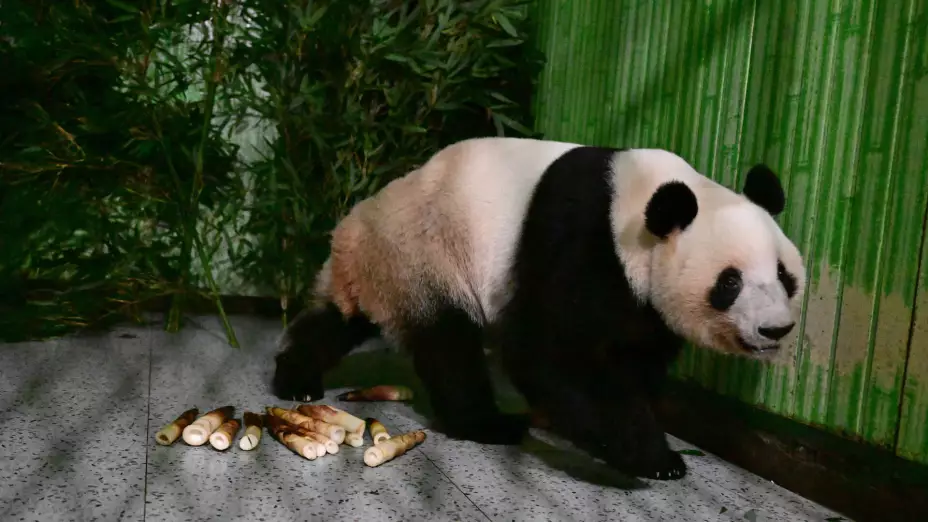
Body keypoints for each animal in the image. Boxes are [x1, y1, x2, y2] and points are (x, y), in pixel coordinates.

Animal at [272, 137, 806, 480]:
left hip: (384, 272)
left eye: (785, 275)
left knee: (337, 321)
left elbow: (633, 359)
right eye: (730, 282)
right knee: (450, 346)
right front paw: (650, 455)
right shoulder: (580, 237)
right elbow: (546, 351)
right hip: (425, 257)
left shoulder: (643, 304)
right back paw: (489, 423)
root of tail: (353, 226)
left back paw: (295, 378)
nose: (776, 329)